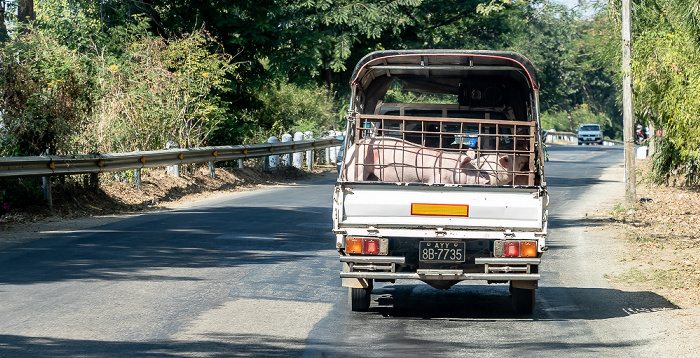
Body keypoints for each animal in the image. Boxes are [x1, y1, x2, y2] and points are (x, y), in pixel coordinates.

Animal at [344, 136, 486, 183]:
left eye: (477, 169)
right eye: (472, 171)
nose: (487, 181)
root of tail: (349, 152)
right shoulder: (437, 178)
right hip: (359, 168)